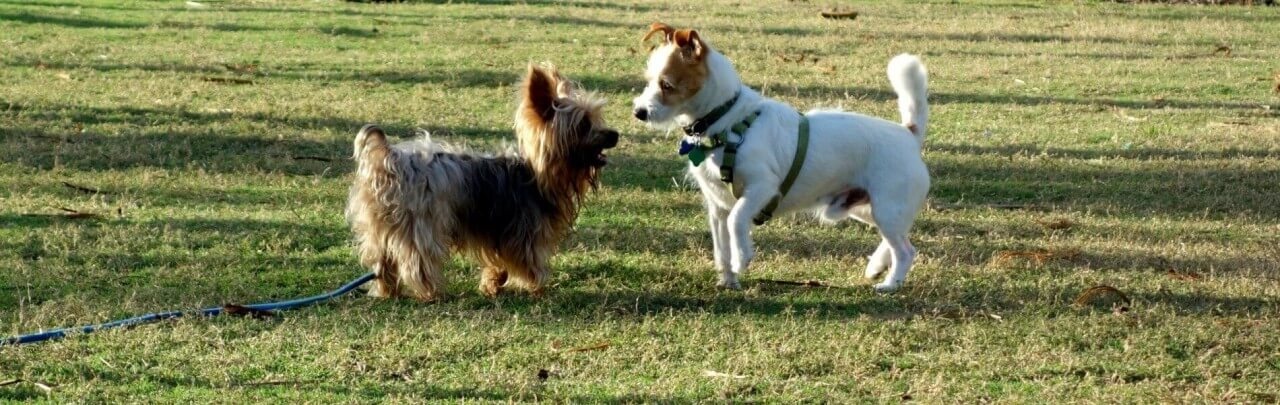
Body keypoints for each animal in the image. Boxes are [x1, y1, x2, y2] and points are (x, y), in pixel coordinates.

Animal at [343, 64, 616, 301]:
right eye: (583, 124)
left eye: (596, 117)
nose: (615, 134)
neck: (536, 175)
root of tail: (388, 158)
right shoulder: (525, 232)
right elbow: (530, 262)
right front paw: (537, 287)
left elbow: (500, 263)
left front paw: (492, 284)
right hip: (421, 222)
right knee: (418, 260)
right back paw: (431, 293)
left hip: (378, 224)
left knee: (382, 262)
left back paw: (388, 290)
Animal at [632, 23, 926, 292]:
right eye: (649, 81)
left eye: (667, 85)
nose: (639, 112)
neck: (727, 122)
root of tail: (908, 134)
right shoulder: (717, 205)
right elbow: (721, 246)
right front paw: (728, 279)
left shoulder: (762, 188)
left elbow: (736, 220)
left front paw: (742, 258)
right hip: (866, 208)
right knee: (899, 239)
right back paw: (876, 266)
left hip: (886, 208)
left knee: (905, 250)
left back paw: (891, 284)